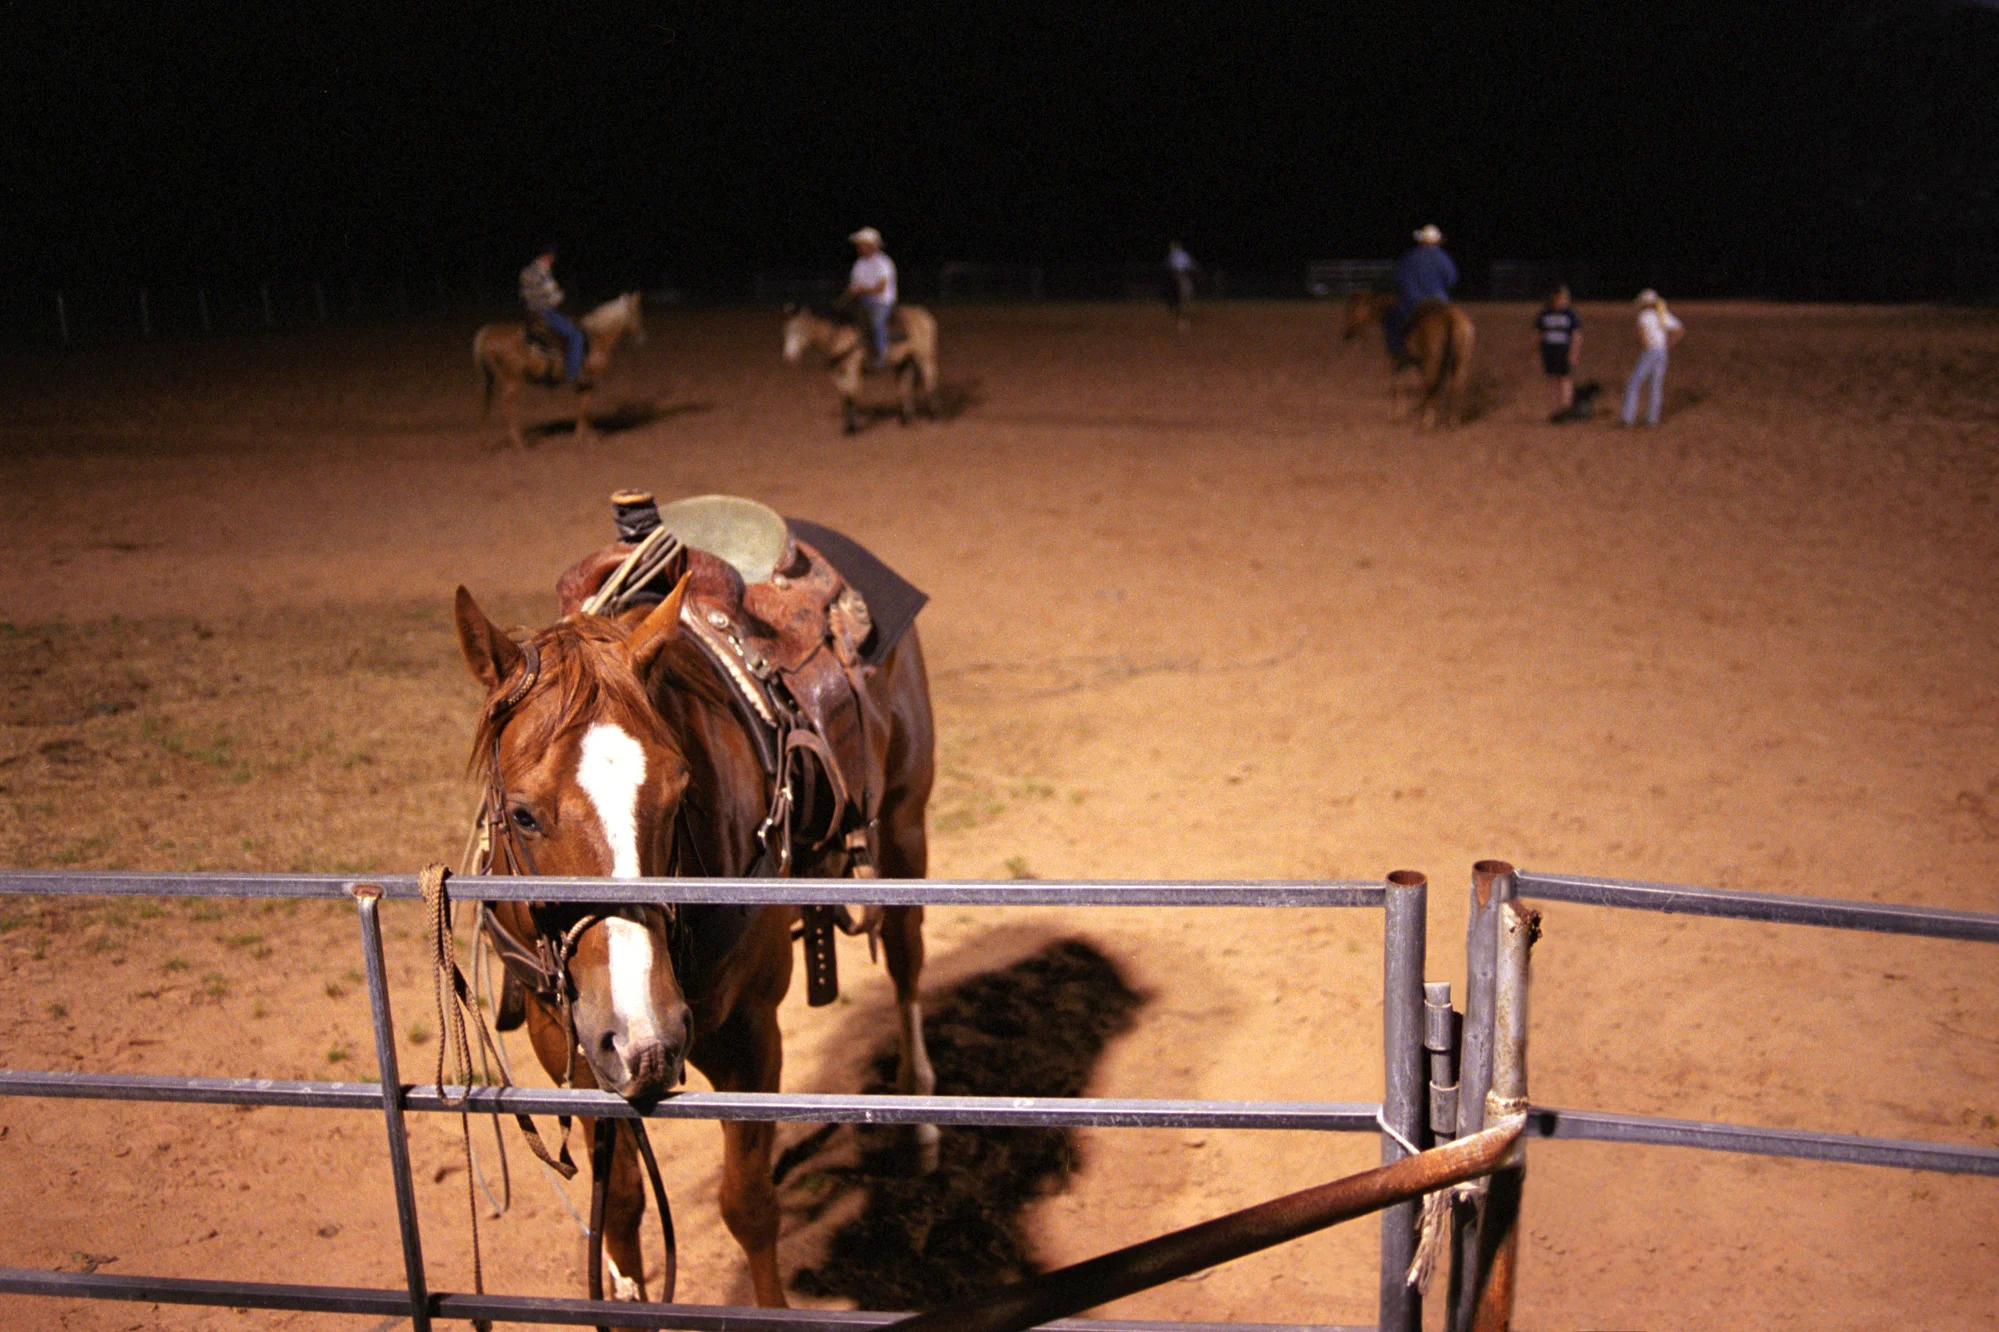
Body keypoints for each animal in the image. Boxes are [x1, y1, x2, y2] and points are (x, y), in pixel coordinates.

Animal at [452, 566, 938, 1313]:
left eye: (679, 793)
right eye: (523, 815)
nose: (642, 1033)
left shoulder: (751, 1035)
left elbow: (749, 1205)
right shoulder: (568, 1045)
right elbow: (620, 1210)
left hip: (906, 829)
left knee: (907, 962)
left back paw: (921, 1109)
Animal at [474, 292, 647, 452]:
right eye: (635, 312)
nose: (641, 337)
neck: (596, 338)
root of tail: (488, 334)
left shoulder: (582, 383)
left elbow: (582, 407)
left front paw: (582, 435)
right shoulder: (590, 379)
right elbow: (585, 407)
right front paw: (587, 437)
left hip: (494, 379)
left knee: (487, 405)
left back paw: (484, 443)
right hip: (512, 379)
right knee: (507, 406)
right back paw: (519, 445)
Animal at [781, 304, 940, 435]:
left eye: (800, 331)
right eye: (786, 332)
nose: (788, 356)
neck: (840, 337)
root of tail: (924, 316)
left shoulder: (853, 370)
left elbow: (851, 396)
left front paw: (852, 428)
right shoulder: (837, 373)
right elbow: (844, 397)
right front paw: (848, 425)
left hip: (925, 358)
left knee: (930, 380)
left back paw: (933, 415)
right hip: (904, 361)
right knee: (906, 384)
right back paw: (905, 419)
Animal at [1342, 290, 1476, 428]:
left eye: (1354, 310)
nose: (1347, 334)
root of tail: (1450, 316)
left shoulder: (1398, 360)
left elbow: (1398, 386)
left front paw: (1397, 414)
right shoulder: (1418, 364)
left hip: (1432, 363)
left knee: (1432, 385)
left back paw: (1426, 422)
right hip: (1460, 363)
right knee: (1456, 388)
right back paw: (1452, 421)